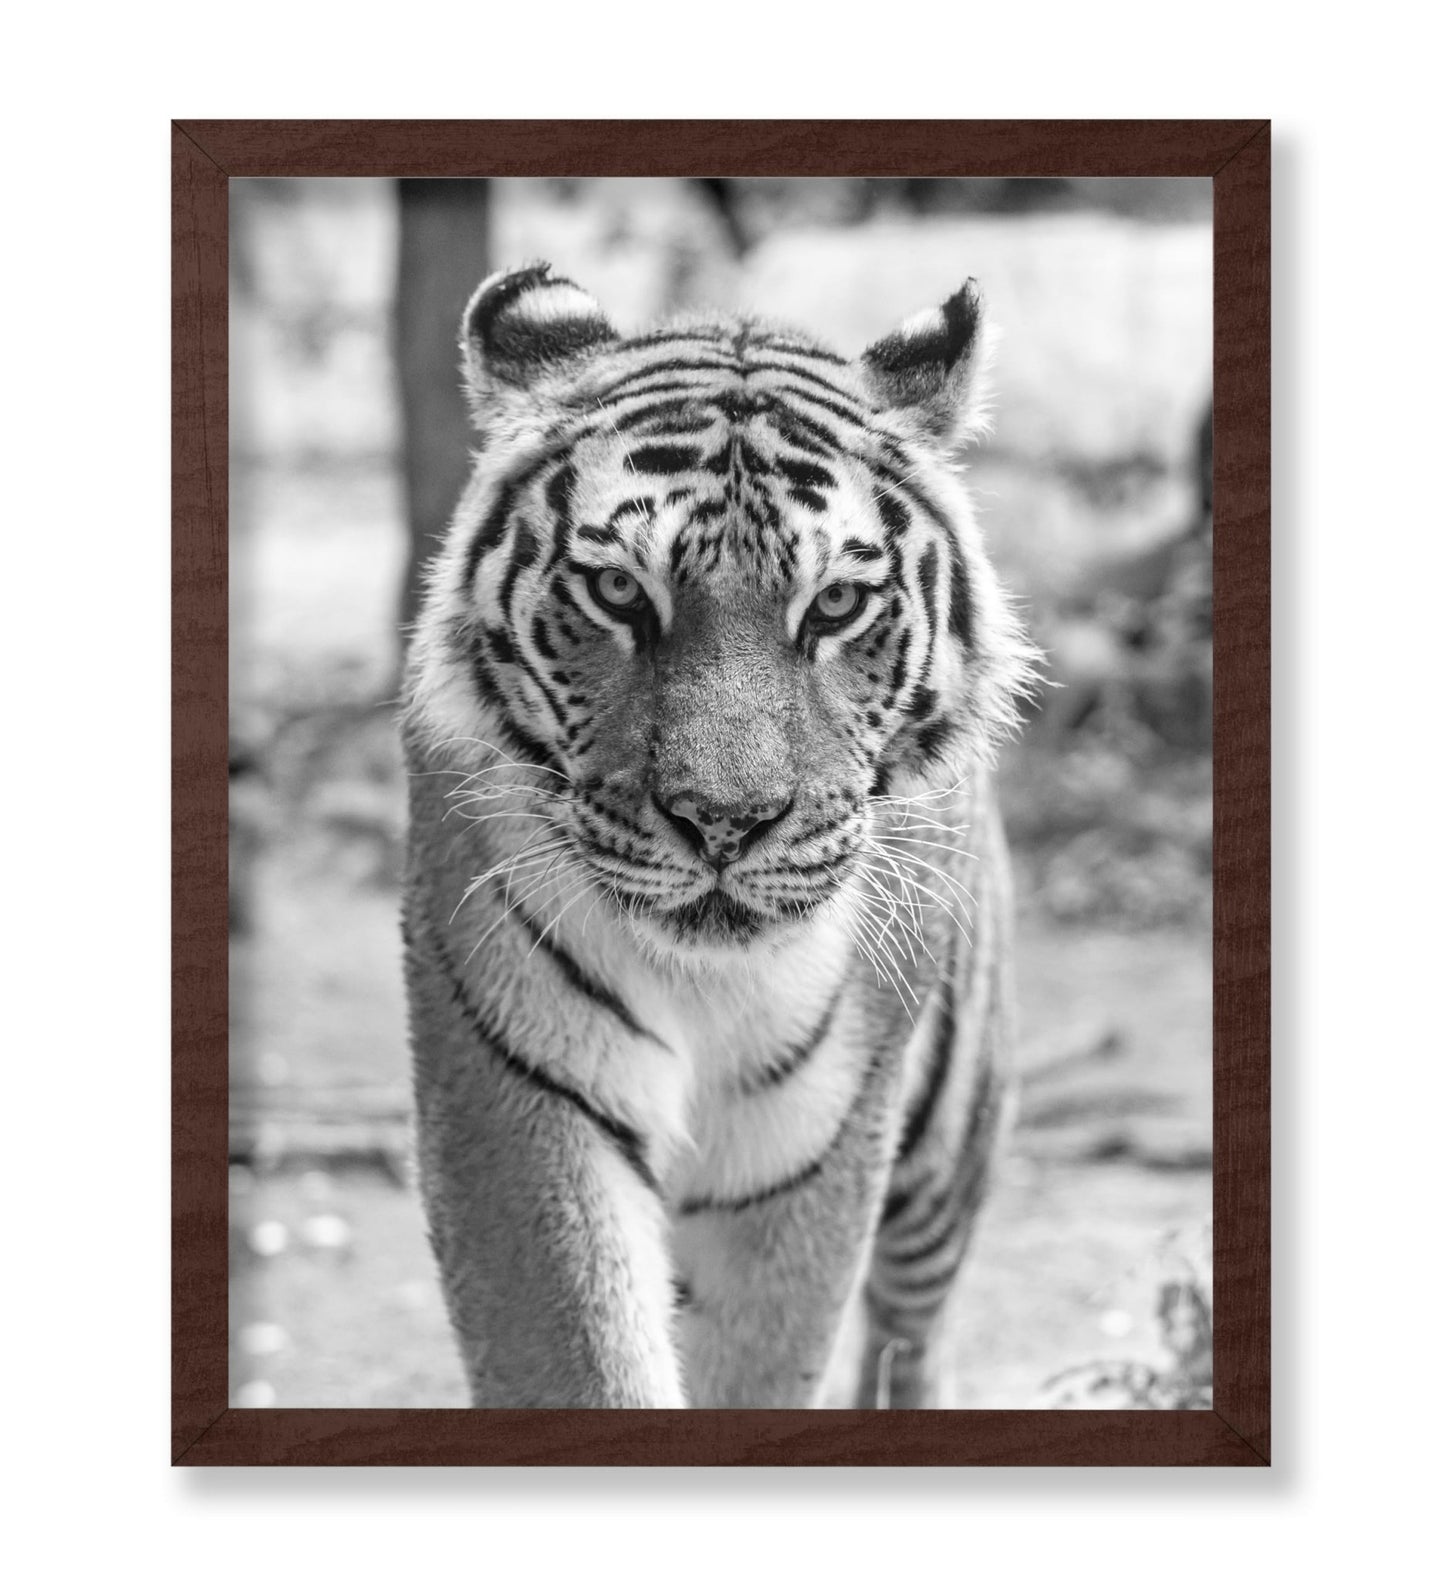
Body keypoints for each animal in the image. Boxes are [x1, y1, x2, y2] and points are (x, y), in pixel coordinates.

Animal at [401, 261, 1036, 1408]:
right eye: (617, 590)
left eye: (834, 604)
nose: (724, 820)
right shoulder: (521, 1090)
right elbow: (582, 1354)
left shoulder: (809, 1139)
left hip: (947, 1139)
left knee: (910, 1328)